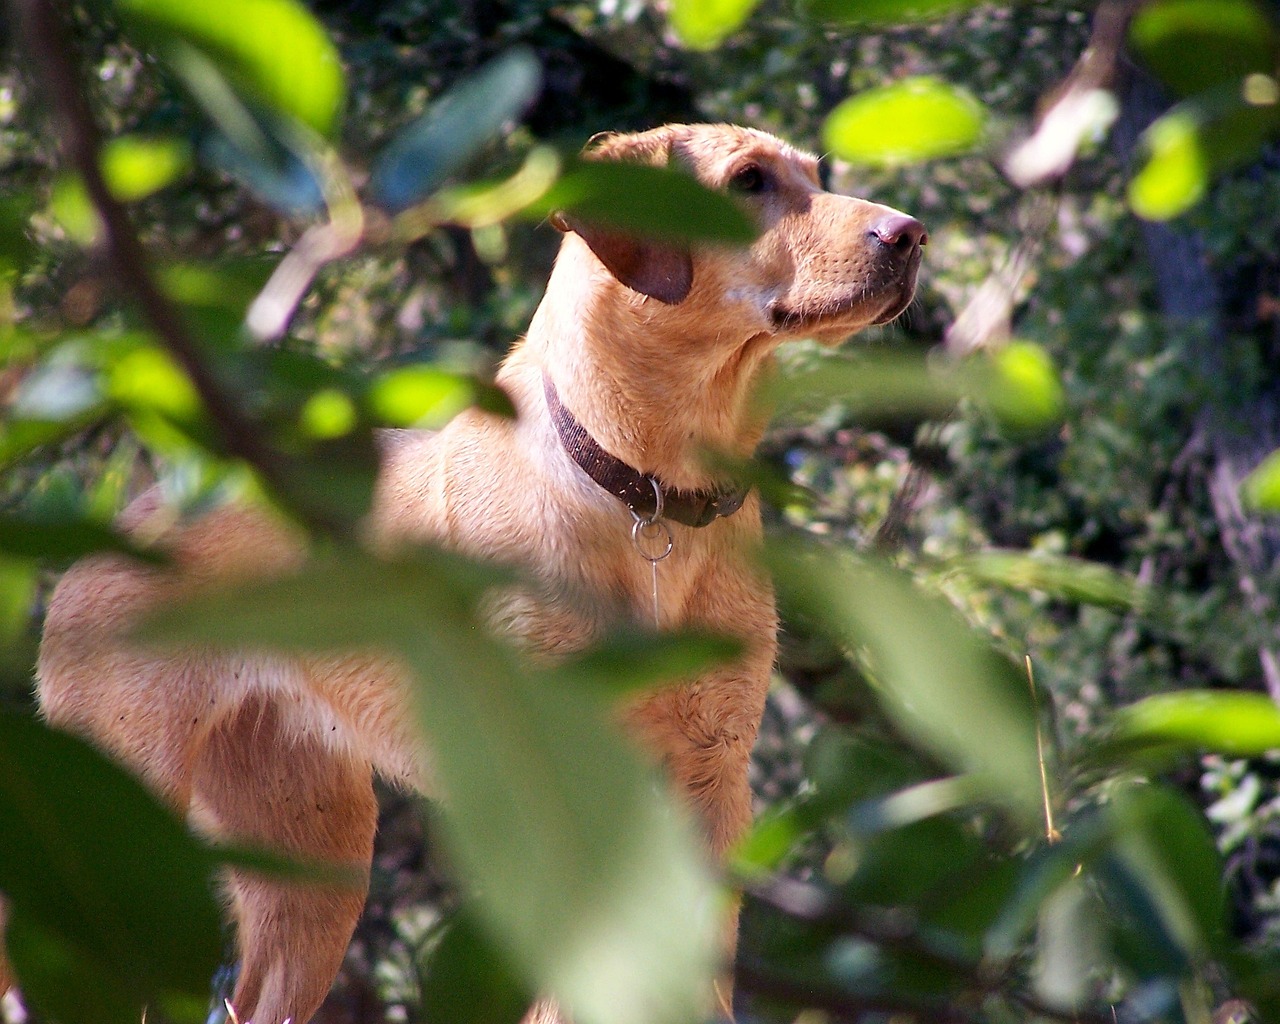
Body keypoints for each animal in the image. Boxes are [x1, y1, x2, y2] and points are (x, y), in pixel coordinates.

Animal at [0, 124, 926, 1018]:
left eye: (815, 173)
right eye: (748, 182)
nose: (911, 235)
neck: (651, 492)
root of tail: (111, 531)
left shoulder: (712, 784)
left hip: (314, 860)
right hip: (106, 828)